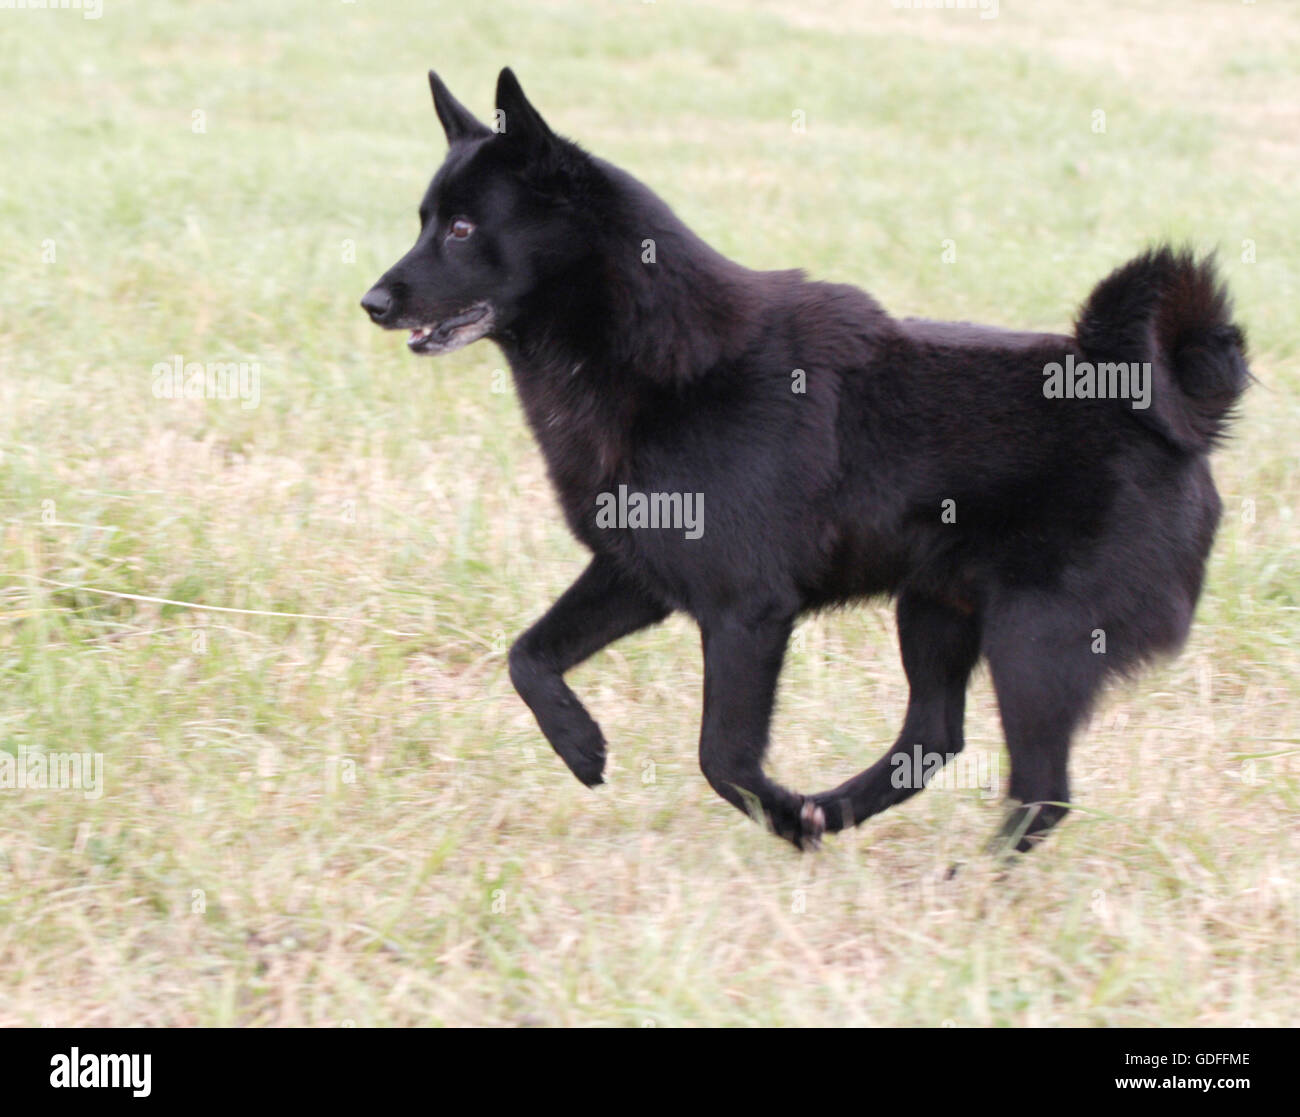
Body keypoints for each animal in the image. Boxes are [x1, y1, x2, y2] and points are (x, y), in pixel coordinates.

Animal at [358, 67, 1248, 858]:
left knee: (1040, 790)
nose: (372, 302)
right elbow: (527, 656)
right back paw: (838, 811)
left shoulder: (746, 608)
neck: (663, 357)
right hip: (935, 608)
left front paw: (780, 818)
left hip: (1034, 638)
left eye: (463, 230)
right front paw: (582, 744)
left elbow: (721, 756)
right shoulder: (638, 573)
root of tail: (1160, 411)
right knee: (932, 739)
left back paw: (961, 879)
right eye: (424, 220)